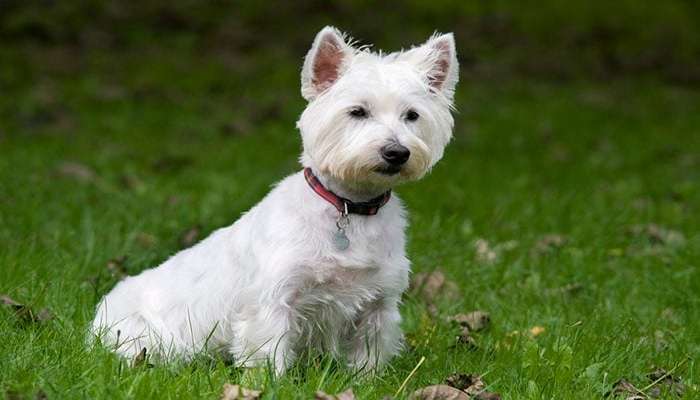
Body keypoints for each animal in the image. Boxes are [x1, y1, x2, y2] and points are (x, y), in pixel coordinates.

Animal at [90, 26, 460, 374]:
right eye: (357, 111)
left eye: (412, 115)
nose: (396, 153)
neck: (349, 207)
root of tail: (96, 320)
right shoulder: (273, 300)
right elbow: (269, 352)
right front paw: (270, 382)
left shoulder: (378, 303)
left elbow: (368, 354)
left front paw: (365, 382)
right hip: (147, 335)